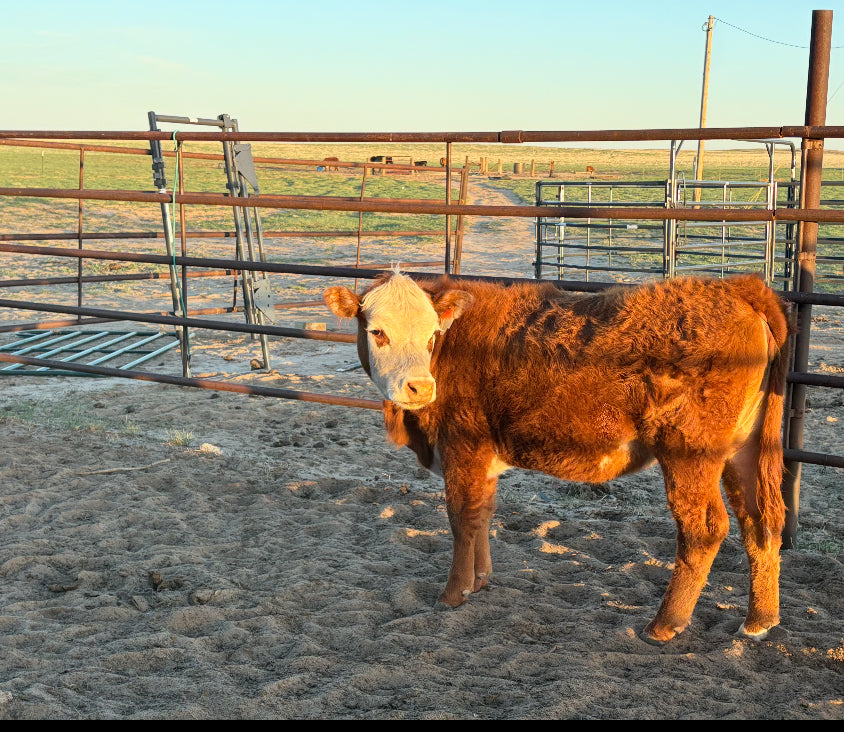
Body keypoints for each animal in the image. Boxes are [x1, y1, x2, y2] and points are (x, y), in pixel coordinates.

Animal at [323, 270, 791, 644]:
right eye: (378, 332)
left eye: (431, 335)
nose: (419, 387)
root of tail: (739, 287)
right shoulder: (482, 461)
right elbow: (483, 514)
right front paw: (481, 580)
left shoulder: (462, 448)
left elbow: (461, 519)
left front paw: (454, 594)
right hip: (747, 449)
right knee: (760, 521)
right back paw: (759, 620)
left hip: (688, 451)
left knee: (704, 528)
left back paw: (665, 624)